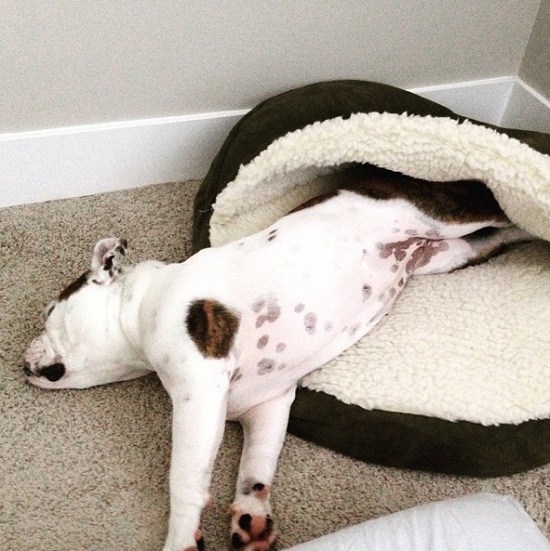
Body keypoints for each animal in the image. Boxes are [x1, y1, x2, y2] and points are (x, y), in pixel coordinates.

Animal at [23, 166, 532, 548]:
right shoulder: (266, 408)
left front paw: (182, 538)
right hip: (445, 255)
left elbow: (184, 477)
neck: (141, 307)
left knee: (500, 214)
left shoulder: (197, 395)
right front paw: (250, 514)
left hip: (439, 216)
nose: (24, 356)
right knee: (495, 238)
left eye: (49, 313)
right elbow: (256, 466)